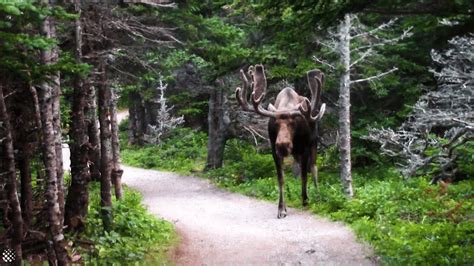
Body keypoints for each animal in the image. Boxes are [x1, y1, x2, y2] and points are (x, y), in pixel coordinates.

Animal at [234, 64, 324, 218]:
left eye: (293, 123)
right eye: (275, 124)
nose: (283, 145)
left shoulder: (305, 148)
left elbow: (304, 176)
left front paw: (305, 200)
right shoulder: (274, 151)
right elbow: (281, 178)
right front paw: (282, 208)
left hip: (313, 143)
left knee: (313, 168)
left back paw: (317, 196)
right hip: (296, 153)